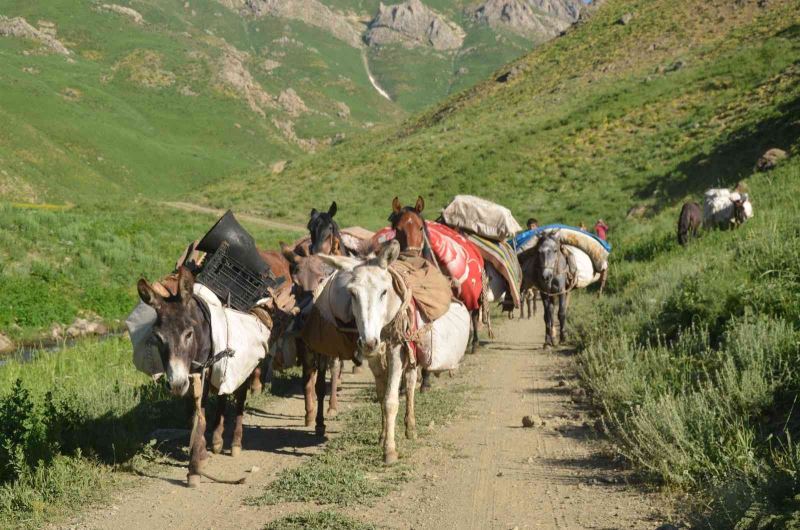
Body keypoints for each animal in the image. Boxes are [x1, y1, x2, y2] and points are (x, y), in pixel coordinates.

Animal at [138, 266, 262, 484]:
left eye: (188, 334)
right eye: (158, 337)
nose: (176, 385)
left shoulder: (200, 372)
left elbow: (200, 415)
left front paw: (194, 469)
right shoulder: (189, 377)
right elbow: (193, 417)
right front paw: (201, 455)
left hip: (240, 369)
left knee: (239, 399)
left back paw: (235, 444)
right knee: (222, 396)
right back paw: (217, 441)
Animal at [318, 239, 468, 462]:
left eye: (384, 292)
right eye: (352, 293)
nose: (368, 342)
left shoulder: (397, 349)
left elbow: (391, 400)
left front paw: (389, 451)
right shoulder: (374, 355)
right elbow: (381, 395)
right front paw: (382, 437)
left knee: (411, 383)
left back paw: (411, 428)